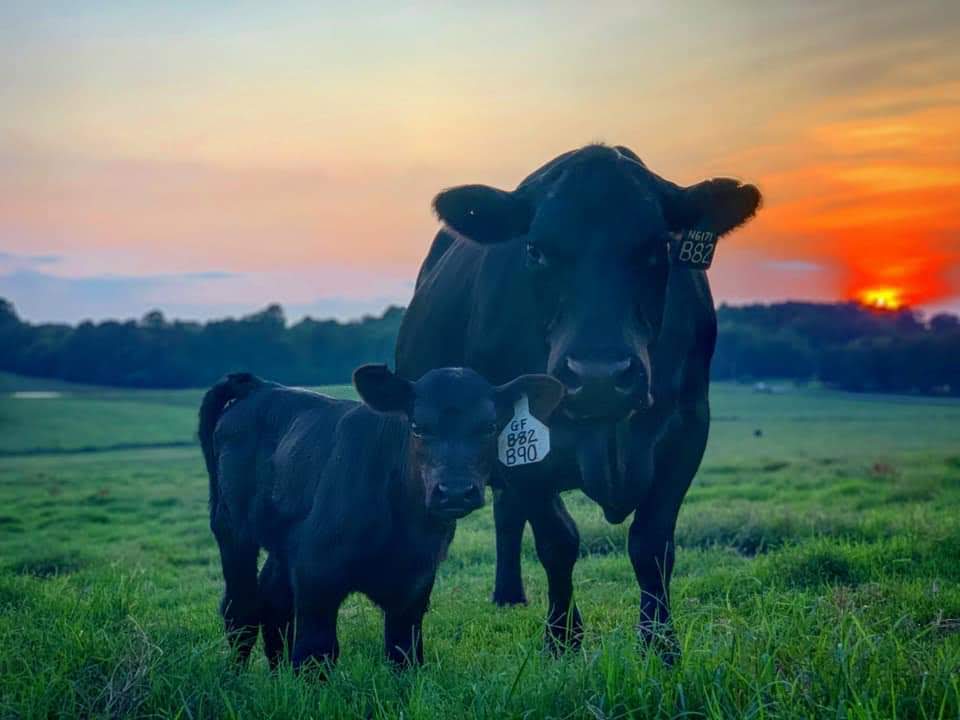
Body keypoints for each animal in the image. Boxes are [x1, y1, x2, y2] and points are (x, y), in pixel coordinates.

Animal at [198, 365, 562, 670]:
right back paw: (236, 677)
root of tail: (260, 386)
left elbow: (404, 653)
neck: (404, 527)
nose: (455, 491)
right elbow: (315, 653)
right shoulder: (316, 573)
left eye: (489, 426)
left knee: (273, 600)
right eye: (417, 426)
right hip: (231, 529)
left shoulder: (414, 586)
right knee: (241, 610)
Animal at [396, 143, 761, 653]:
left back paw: (510, 594)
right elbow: (558, 541)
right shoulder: (520, 438)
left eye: (658, 247)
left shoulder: (688, 428)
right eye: (535, 249)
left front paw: (660, 643)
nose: (599, 376)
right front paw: (563, 638)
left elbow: (652, 544)